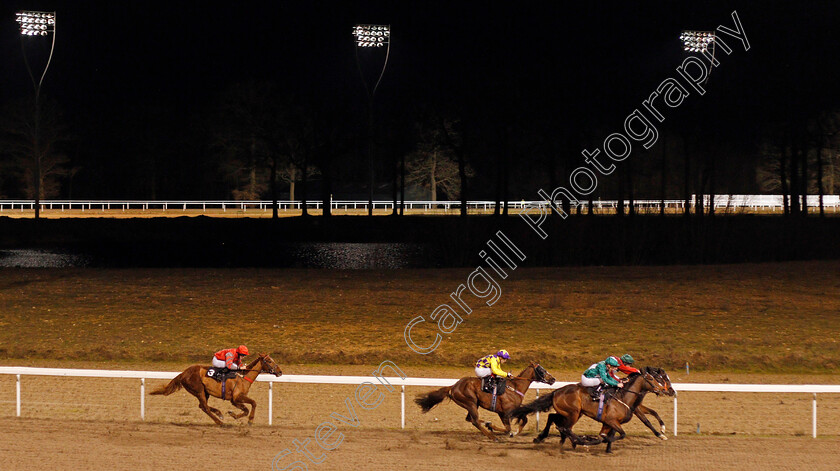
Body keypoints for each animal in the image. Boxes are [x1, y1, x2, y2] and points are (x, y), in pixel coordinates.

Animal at [150, 352, 282, 426]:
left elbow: (245, 409)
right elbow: (253, 403)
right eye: (269, 361)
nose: (280, 372)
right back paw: (220, 422)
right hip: (199, 390)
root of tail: (183, 373)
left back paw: (219, 414)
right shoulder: (237, 397)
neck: (243, 377)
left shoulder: (234, 400)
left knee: (202, 406)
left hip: (205, 392)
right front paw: (250, 420)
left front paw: (233, 414)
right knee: (205, 407)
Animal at [416, 362, 556, 442]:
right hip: (470, 403)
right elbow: (507, 429)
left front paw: (512, 432)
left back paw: (488, 425)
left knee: (470, 419)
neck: (515, 387)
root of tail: (453, 386)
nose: (553, 379)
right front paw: (506, 432)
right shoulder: (505, 412)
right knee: (475, 421)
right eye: (542, 370)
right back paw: (493, 437)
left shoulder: (514, 410)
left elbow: (524, 420)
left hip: (474, 404)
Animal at [508, 366, 672, 454]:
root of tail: (557, 391)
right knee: (564, 427)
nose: (665, 390)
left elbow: (608, 435)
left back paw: (547, 438)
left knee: (554, 418)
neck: (625, 397)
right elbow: (622, 433)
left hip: (571, 413)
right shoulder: (612, 420)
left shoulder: (610, 422)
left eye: (659, 378)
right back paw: (578, 441)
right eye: (653, 378)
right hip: (573, 413)